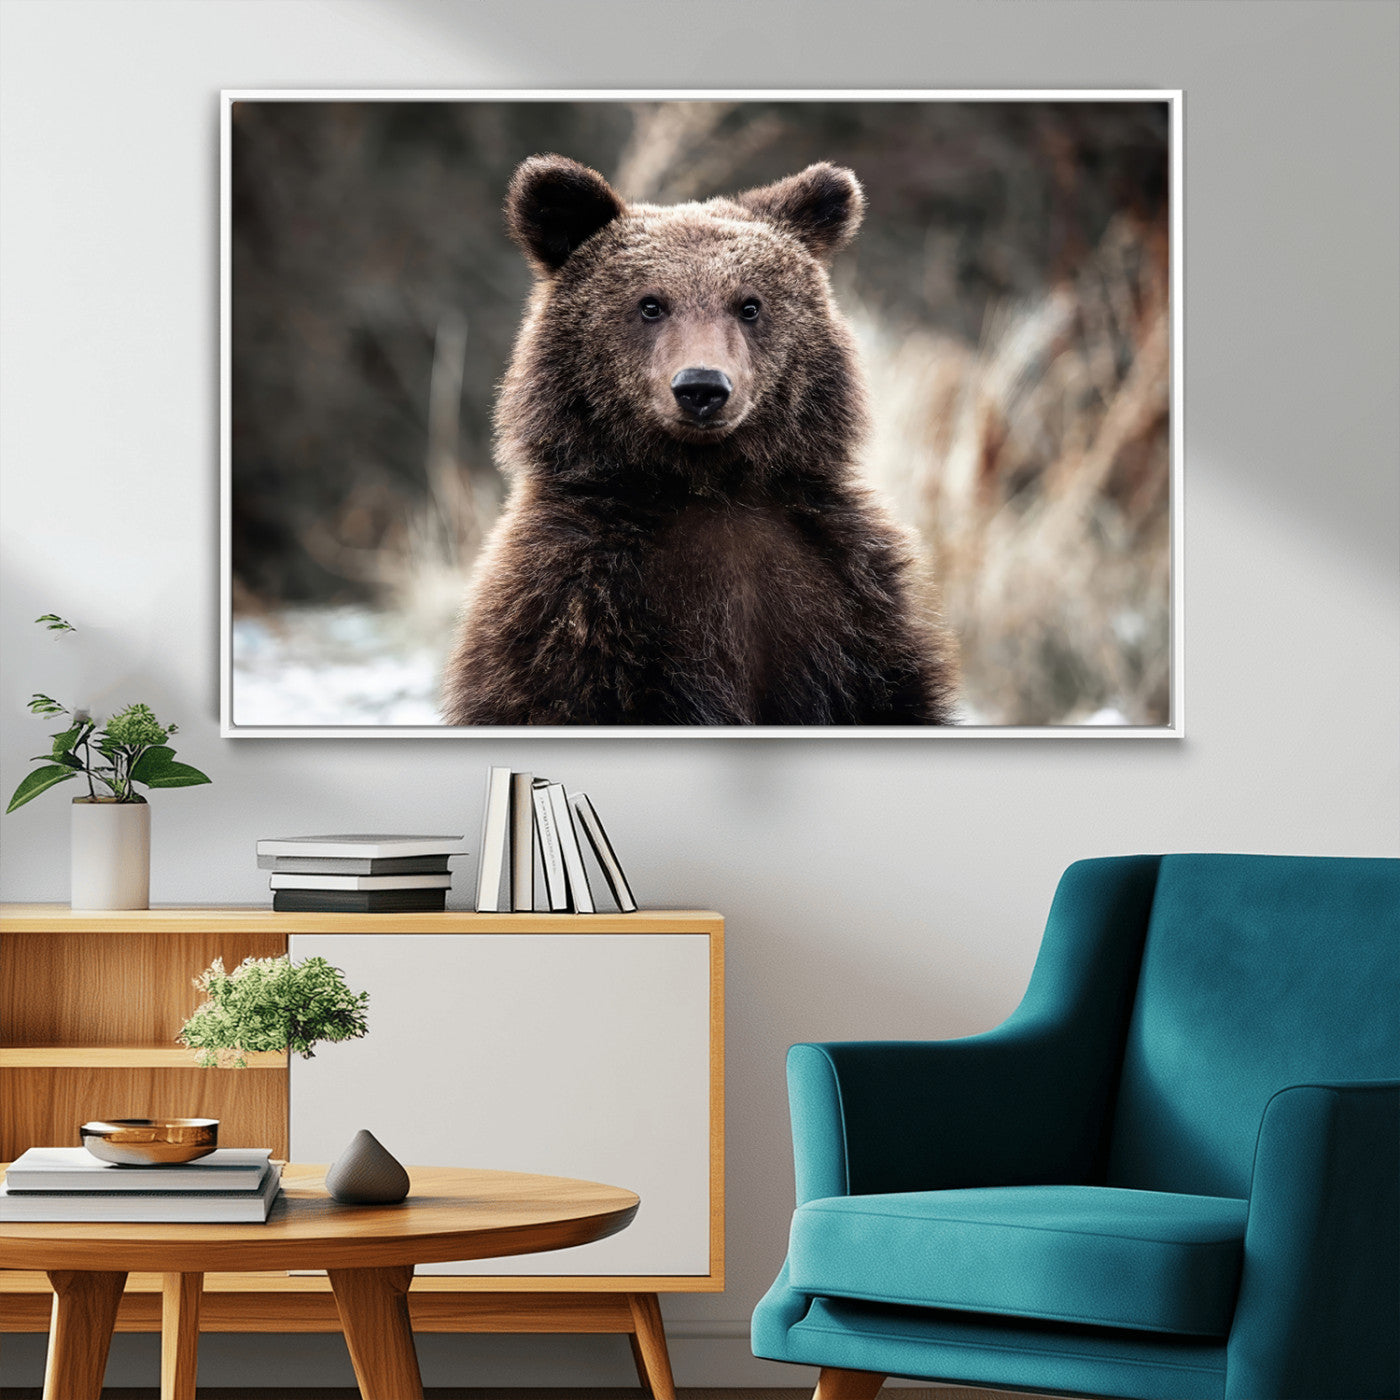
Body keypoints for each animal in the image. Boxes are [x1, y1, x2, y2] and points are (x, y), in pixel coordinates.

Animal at [441, 154, 957, 726]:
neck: (708, 485)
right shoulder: (573, 607)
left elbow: (890, 693)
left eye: (749, 305)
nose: (702, 387)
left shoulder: (848, 600)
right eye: (650, 304)